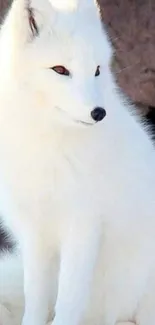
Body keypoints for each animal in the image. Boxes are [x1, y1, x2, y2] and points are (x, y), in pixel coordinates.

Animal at [0, 0, 155, 324]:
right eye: (60, 70)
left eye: (96, 70)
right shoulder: (35, 231)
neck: (48, 144)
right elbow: (35, 299)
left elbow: (69, 301)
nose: (99, 113)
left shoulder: (83, 226)